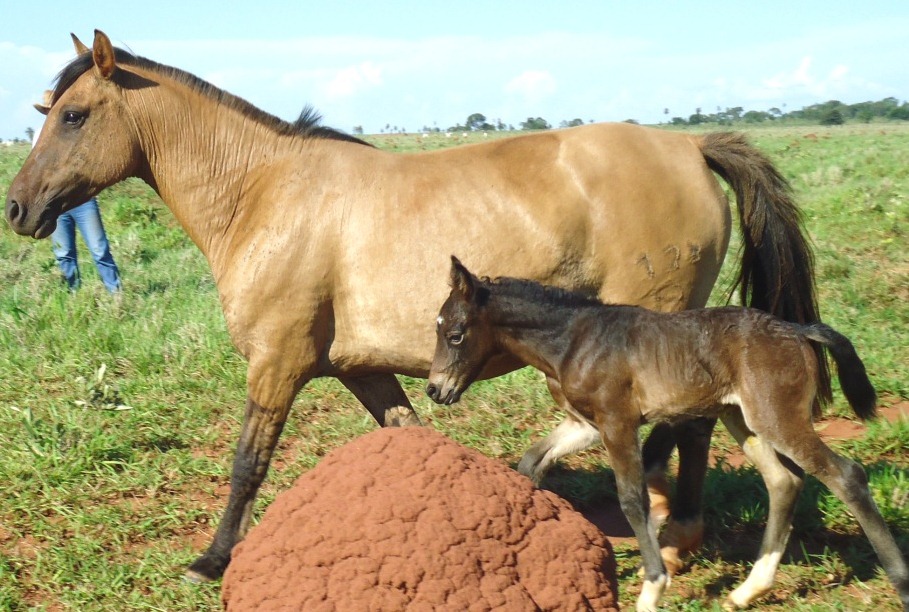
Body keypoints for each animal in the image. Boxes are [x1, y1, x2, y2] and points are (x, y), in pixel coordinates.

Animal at [3, 29, 824, 584]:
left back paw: (673, 533)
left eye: (72, 115)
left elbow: (246, 463)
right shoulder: (360, 370)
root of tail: (687, 146)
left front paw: (211, 558)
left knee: (686, 428)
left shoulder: (277, 364)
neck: (263, 192)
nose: (17, 208)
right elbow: (407, 438)